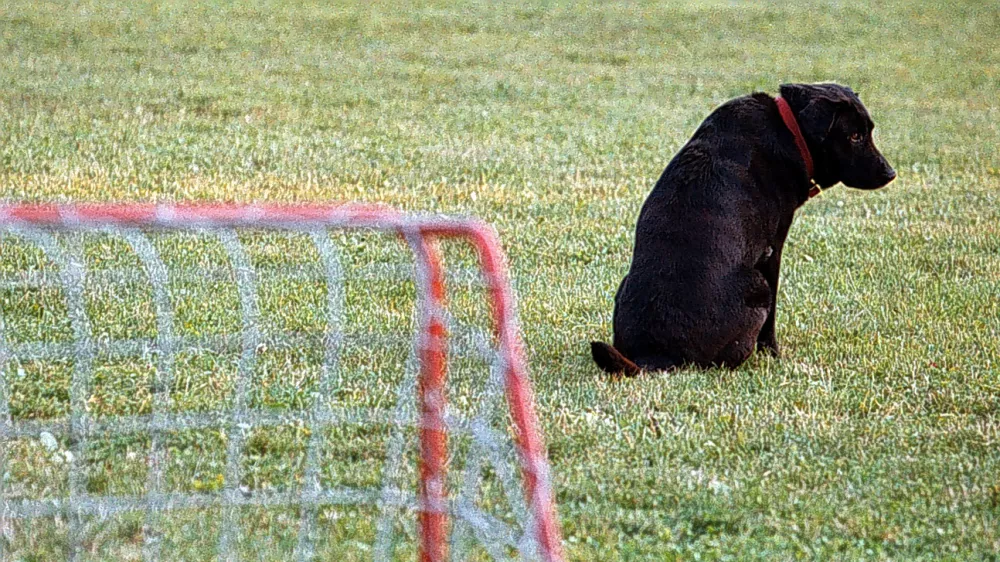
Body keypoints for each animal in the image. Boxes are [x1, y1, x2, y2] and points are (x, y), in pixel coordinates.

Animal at [588, 82, 896, 372]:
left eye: (868, 131)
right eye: (854, 136)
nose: (891, 173)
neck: (789, 127)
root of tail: (655, 355)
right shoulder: (772, 250)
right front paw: (773, 354)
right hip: (758, 288)